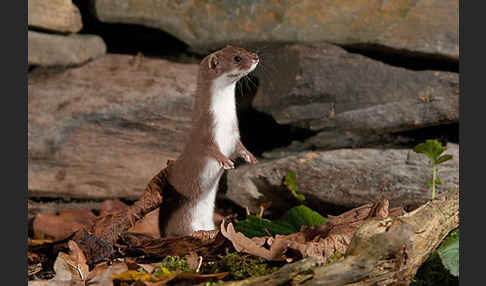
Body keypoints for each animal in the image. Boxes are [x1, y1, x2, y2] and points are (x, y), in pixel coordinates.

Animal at [163, 45, 260, 237]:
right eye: (237, 58)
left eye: (243, 48)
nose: (255, 56)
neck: (224, 119)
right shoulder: (206, 132)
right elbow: (209, 149)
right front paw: (225, 161)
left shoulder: (234, 134)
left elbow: (240, 147)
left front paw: (250, 157)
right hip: (185, 219)